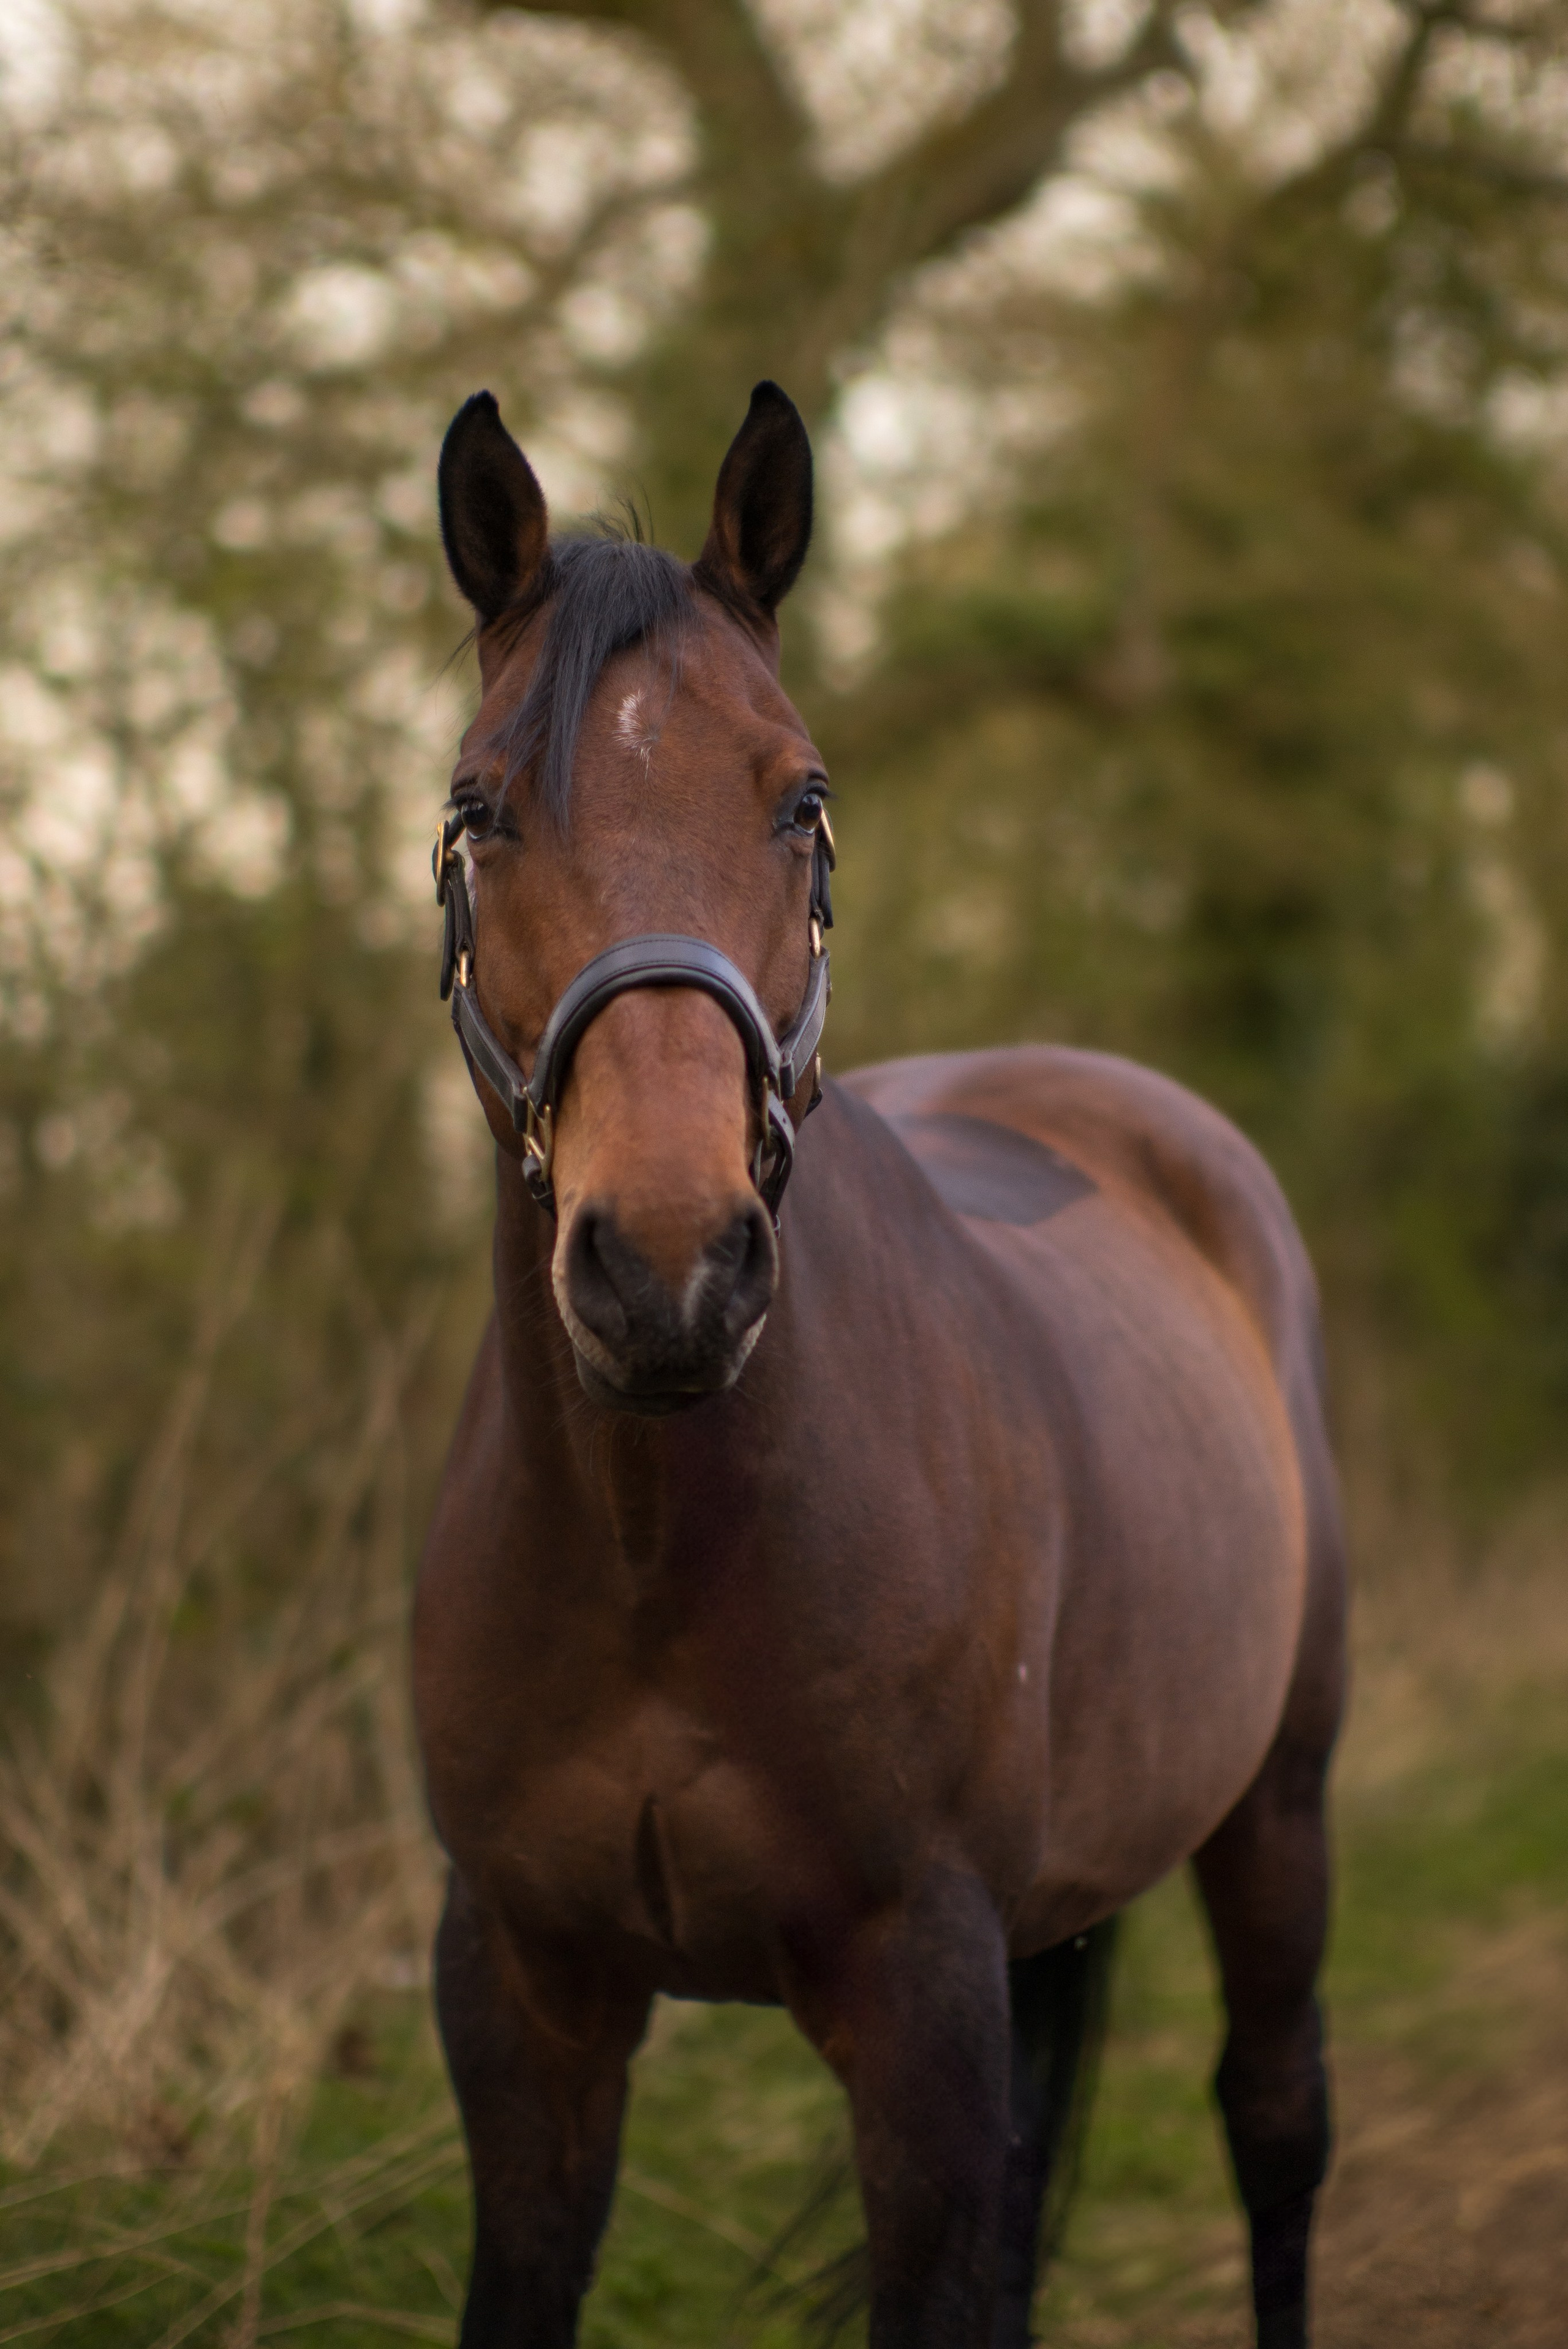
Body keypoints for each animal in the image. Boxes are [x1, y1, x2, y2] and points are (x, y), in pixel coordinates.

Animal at [412, 379, 1345, 2349]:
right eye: (478, 808)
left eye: (803, 797)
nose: (667, 1271)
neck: (654, 1560)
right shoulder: (523, 2001)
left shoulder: (920, 2000)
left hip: (1276, 1808)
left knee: (1275, 2119)